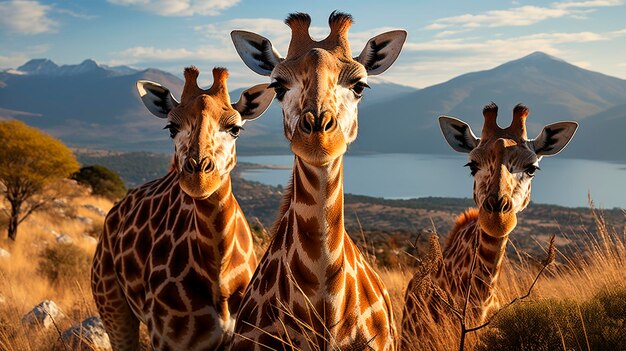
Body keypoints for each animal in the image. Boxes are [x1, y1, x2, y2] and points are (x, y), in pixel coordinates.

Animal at [89, 66, 272, 351]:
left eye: (235, 128)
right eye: (171, 127)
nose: (199, 178)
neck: (218, 275)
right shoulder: (167, 340)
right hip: (111, 305)